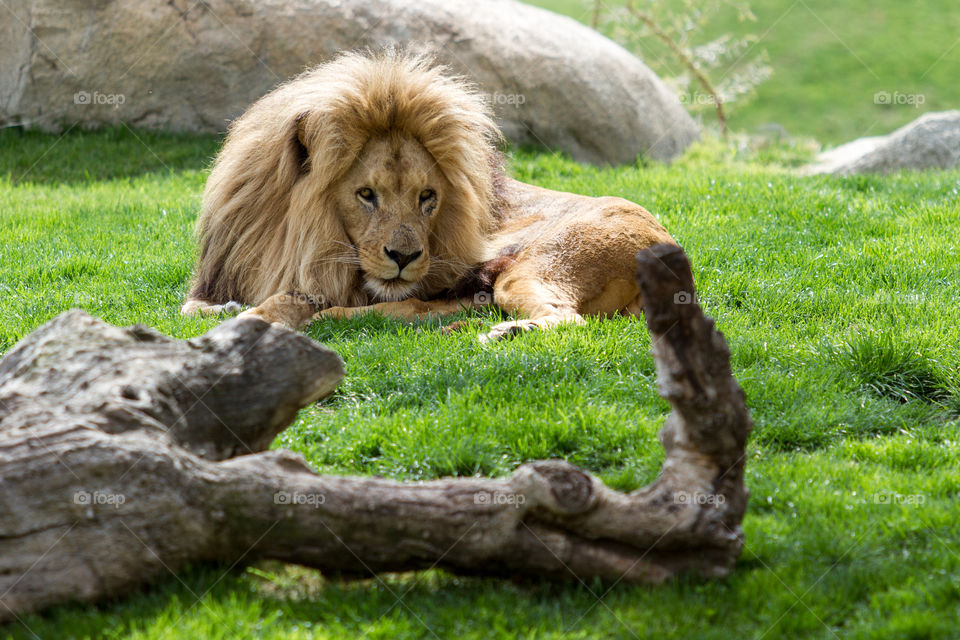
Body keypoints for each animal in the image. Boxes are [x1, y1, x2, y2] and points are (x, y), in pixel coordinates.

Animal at [182, 50, 676, 341]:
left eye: (427, 197)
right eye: (366, 194)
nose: (404, 257)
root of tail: (666, 242)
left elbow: (280, 302)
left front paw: (250, 322)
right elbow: (193, 309)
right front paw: (228, 311)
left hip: (535, 266)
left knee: (568, 320)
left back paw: (504, 333)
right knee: (419, 307)